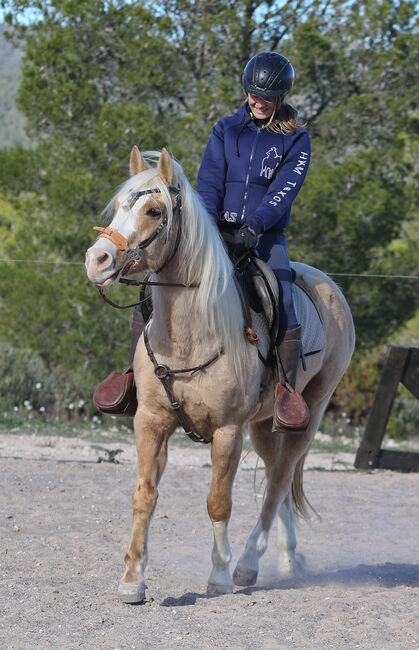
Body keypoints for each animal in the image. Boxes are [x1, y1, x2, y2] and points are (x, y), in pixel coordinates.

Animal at [85, 147, 354, 604]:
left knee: (279, 480)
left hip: (309, 415)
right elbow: (144, 495)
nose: (97, 259)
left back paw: (247, 564)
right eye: (120, 205)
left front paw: (219, 576)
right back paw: (286, 559)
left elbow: (218, 502)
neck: (190, 335)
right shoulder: (151, 421)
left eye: (154, 211)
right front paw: (133, 580)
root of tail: (330, 286)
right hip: (265, 425)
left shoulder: (228, 431)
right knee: (278, 480)